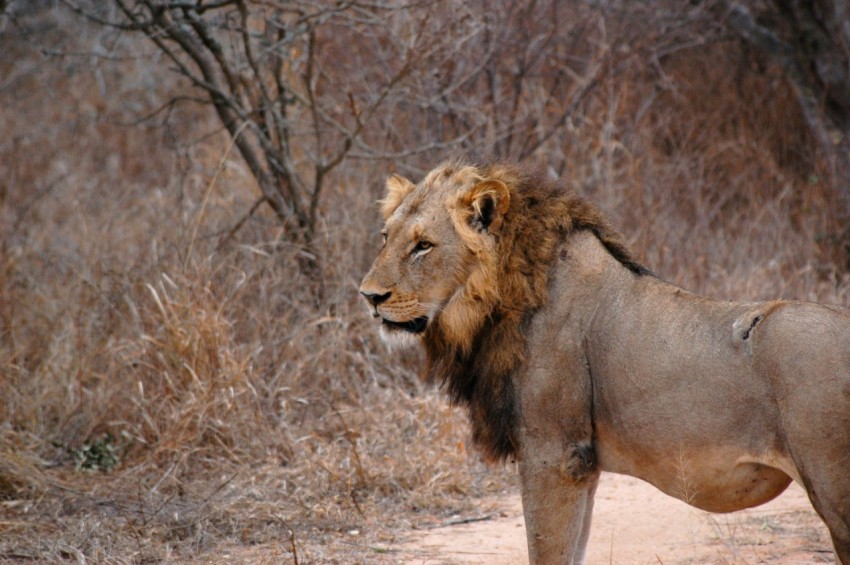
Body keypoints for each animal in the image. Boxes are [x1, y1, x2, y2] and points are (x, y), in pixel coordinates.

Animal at [359, 161, 850, 564]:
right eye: (385, 238)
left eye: (423, 246)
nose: (369, 296)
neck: (494, 301)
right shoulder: (584, 465)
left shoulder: (554, 453)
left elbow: (547, 552)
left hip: (835, 493)